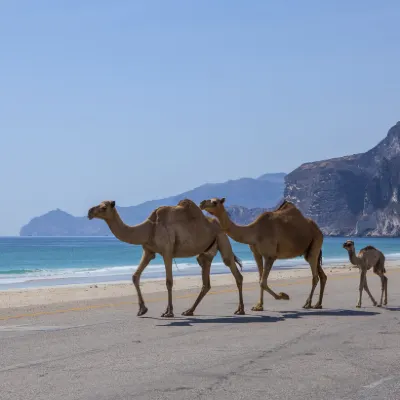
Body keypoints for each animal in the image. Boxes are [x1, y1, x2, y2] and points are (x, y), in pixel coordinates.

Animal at [86, 198, 244, 318]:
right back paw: (189, 311)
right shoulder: (149, 251)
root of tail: (218, 223)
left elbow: (169, 281)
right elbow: (135, 276)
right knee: (206, 281)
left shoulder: (167, 251)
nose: (89, 212)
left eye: (103, 207)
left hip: (222, 238)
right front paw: (142, 309)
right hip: (205, 254)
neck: (149, 228)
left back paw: (240, 310)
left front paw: (168, 312)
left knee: (234, 270)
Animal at [198, 197, 326, 310]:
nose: (202, 203)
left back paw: (308, 304)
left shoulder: (270, 255)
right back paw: (318, 304)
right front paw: (259, 306)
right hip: (309, 250)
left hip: (316, 241)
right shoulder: (257, 254)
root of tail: (319, 230)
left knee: (315, 276)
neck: (254, 232)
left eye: (215, 202)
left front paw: (282, 295)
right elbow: (260, 278)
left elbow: (263, 282)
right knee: (322, 275)